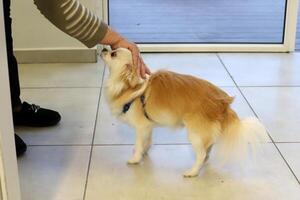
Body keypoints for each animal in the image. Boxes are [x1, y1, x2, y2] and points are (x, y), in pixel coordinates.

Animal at [101, 47, 268, 177]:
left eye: (113, 54)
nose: (103, 49)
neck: (130, 87)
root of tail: (223, 104)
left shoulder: (141, 127)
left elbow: (139, 143)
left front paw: (135, 158)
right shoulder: (148, 126)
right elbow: (147, 141)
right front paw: (144, 151)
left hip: (195, 134)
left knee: (201, 154)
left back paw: (192, 172)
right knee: (208, 149)